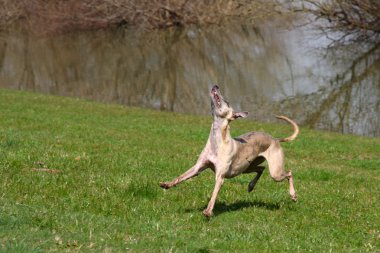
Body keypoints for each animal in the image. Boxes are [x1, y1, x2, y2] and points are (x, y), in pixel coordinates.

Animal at [159, 85, 298, 217]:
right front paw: (167, 184)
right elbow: (181, 176)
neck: (217, 142)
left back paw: (293, 194)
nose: (216, 86)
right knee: (261, 168)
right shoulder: (197, 168)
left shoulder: (220, 176)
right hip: (246, 167)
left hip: (275, 172)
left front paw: (208, 211)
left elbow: (214, 194)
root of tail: (275, 139)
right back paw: (251, 186)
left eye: (227, 101)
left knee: (289, 173)